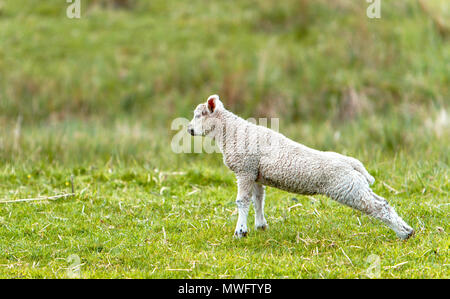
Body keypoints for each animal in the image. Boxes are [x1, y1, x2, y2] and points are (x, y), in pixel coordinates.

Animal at [186, 95, 414, 240]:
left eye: (199, 115)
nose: (189, 130)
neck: (231, 132)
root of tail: (353, 164)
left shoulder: (244, 170)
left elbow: (242, 202)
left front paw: (240, 232)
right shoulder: (255, 173)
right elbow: (258, 200)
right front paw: (260, 225)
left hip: (347, 187)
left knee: (378, 207)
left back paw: (402, 233)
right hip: (354, 185)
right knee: (383, 202)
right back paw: (408, 230)